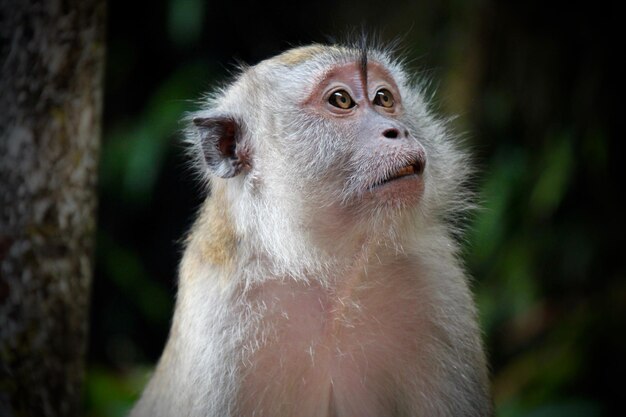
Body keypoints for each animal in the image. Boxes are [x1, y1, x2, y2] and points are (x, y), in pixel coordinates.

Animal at [130, 42, 492, 416]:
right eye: (341, 100)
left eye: (383, 98)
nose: (398, 131)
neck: (327, 271)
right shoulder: (220, 322)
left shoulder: (437, 284)